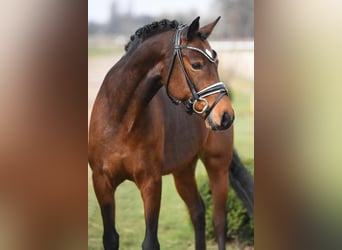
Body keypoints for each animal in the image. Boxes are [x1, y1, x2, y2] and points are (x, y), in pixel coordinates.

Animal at [89, 17, 238, 250]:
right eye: (196, 64)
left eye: (216, 63)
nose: (226, 116)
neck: (120, 120)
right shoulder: (101, 182)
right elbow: (110, 238)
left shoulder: (151, 183)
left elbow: (150, 242)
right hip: (183, 170)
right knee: (198, 211)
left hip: (217, 167)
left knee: (219, 221)